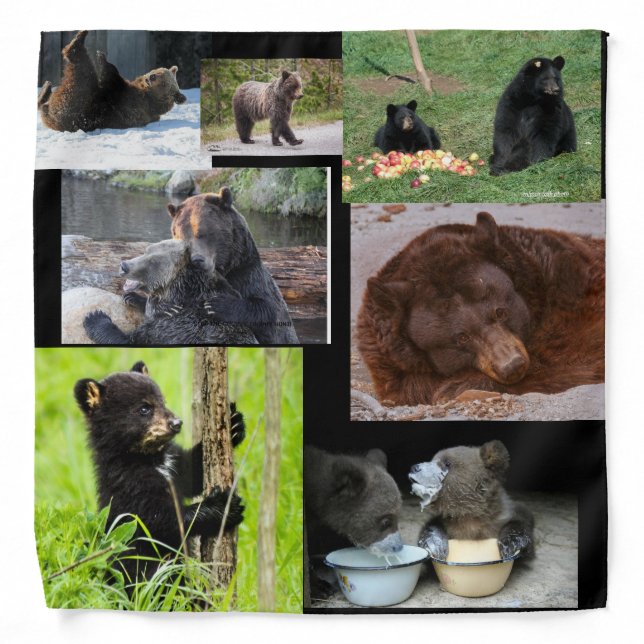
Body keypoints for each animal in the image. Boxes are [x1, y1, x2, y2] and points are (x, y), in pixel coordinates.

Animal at [38, 30, 186, 132]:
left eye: (164, 83)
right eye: (159, 70)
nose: (151, 77)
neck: (147, 94)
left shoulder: (131, 103)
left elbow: (112, 78)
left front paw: (101, 57)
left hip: (76, 104)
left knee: (83, 70)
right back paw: (46, 88)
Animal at [74, 361, 245, 583]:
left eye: (162, 401)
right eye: (144, 408)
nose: (177, 423)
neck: (150, 459)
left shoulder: (172, 463)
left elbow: (191, 472)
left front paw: (234, 423)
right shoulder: (129, 485)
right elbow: (162, 520)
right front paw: (222, 506)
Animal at [82, 239, 258, 345]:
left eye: (153, 262)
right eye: (146, 251)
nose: (124, 265)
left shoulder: (176, 327)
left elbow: (131, 340)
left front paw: (95, 317)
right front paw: (132, 298)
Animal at [168, 188, 299, 344]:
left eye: (201, 232)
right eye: (179, 236)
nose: (195, 260)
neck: (225, 269)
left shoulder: (247, 274)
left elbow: (267, 309)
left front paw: (216, 305)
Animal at [356, 212, 604, 405]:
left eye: (500, 311)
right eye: (461, 338)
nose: (512, 365)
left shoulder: (574, 292)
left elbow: (571, 355)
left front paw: (455, 387)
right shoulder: (385, 356)